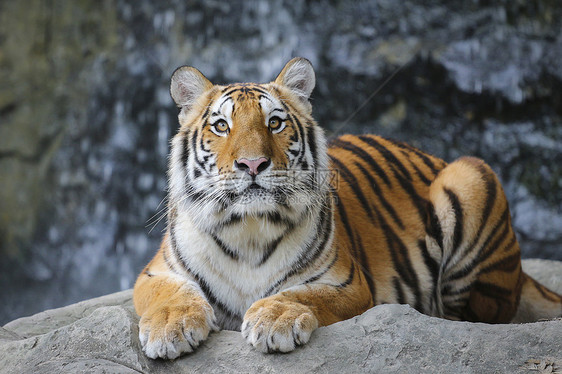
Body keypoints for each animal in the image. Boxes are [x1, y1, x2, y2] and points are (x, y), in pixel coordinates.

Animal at [132, 56, 560, 360]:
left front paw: (275, 319)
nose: (253, 164)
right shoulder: (156, 273)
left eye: (275, 123)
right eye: (221, 126)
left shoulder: (346, 284)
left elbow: (300, 294)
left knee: (478, 315)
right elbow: (170, 294)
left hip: (471, 173)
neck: (248, 229)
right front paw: (169, 328)